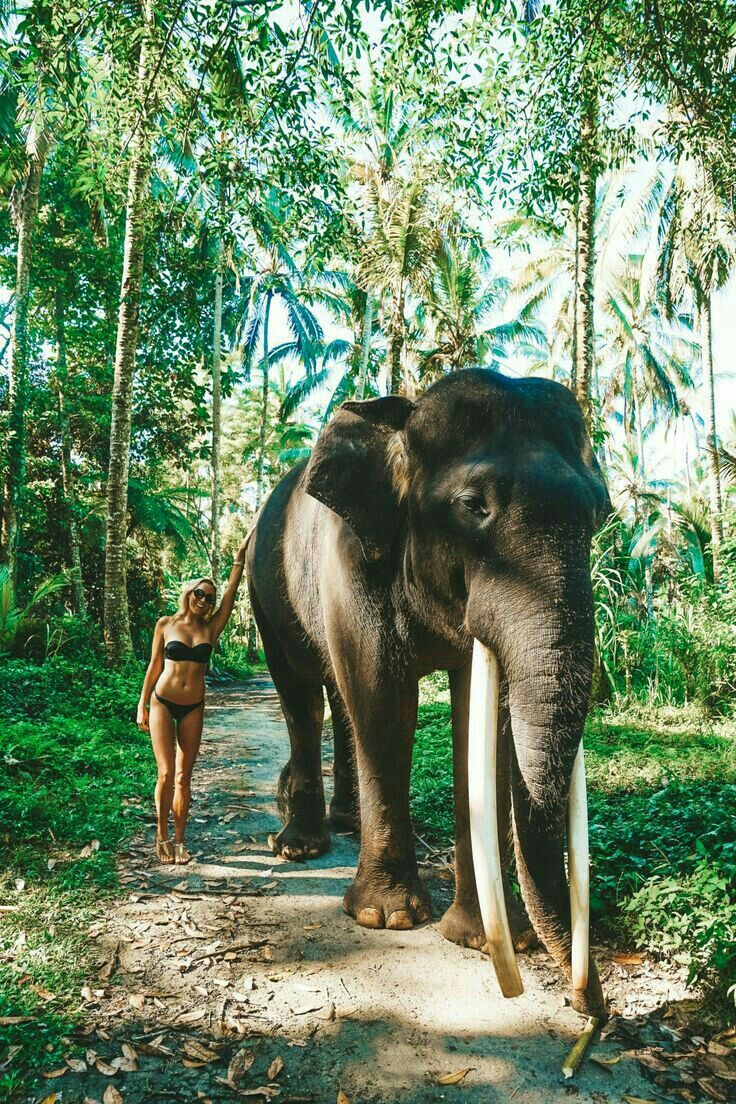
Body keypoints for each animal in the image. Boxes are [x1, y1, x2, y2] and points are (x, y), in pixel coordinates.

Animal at [246, 366, 609, 1011]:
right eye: (473, 505)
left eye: (598, 516)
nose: (588, 1008)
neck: (403, 419)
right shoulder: (351, 558)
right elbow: (383, 699)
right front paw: (386, 918)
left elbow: (475, 721)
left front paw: (484, 936)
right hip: (265, 591)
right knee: (302, 696)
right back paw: (300, 846)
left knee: (336, 700)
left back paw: (346, 824)